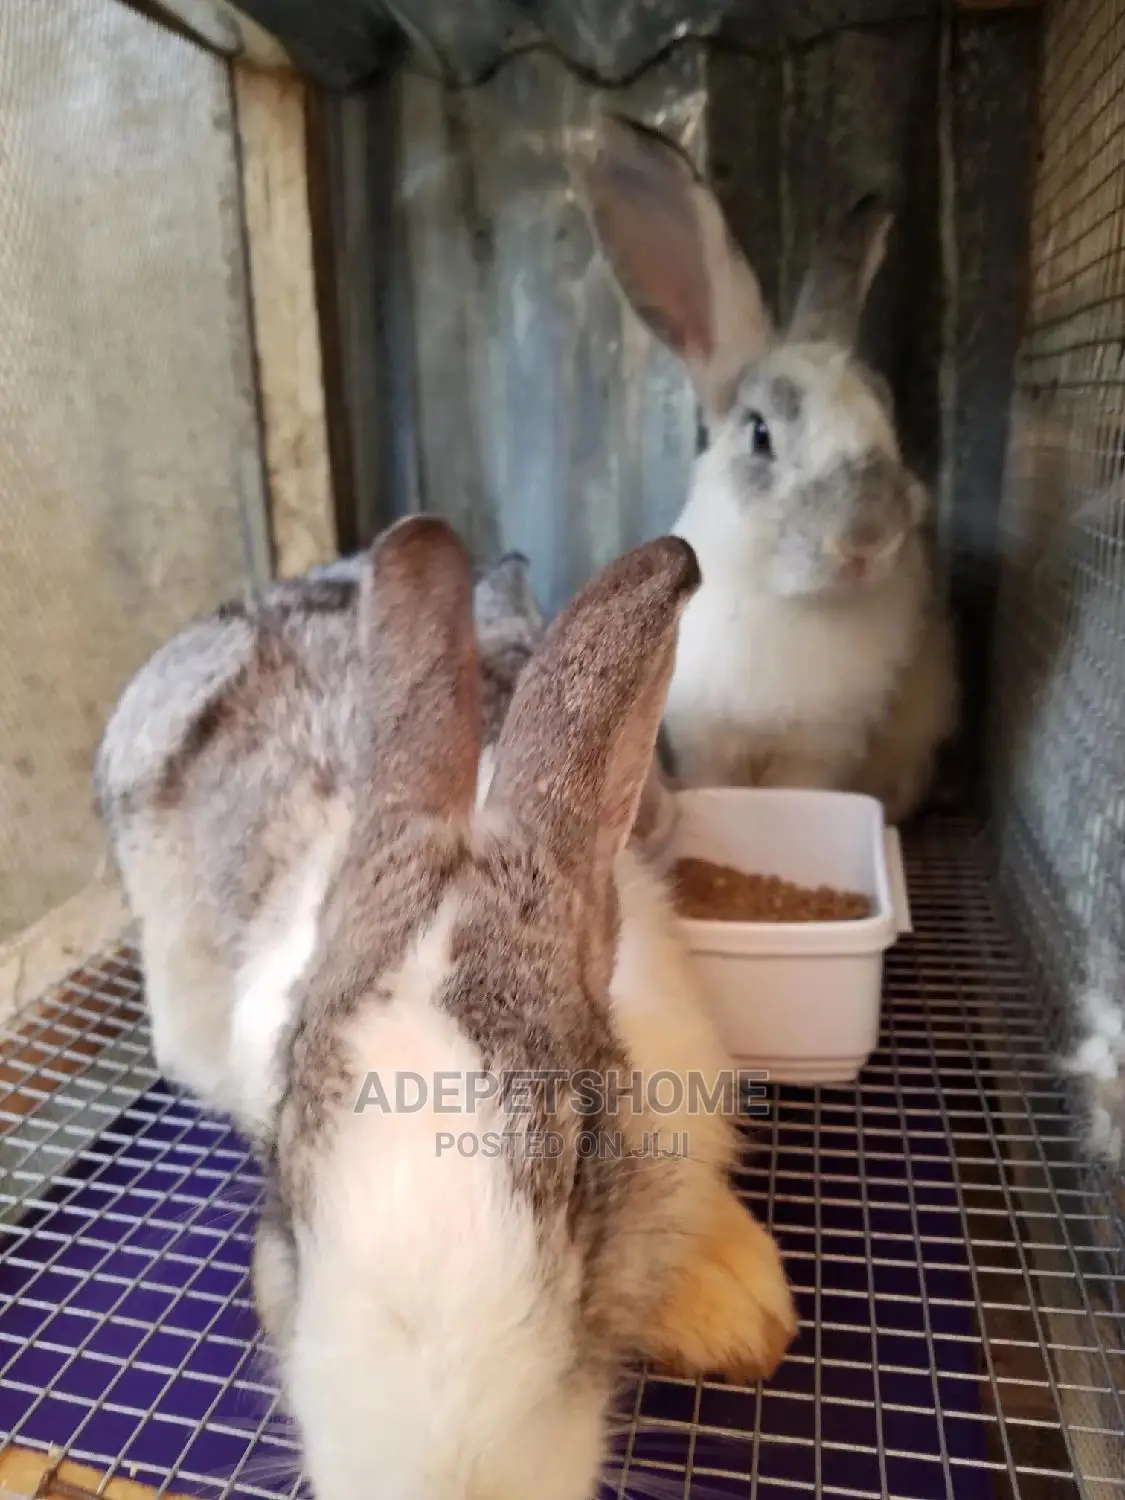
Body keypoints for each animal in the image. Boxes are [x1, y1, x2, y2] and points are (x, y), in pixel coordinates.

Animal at [580, 115, 958, 823]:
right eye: (760, 435)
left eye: (887, 416)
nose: (867, 538)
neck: (791, 603)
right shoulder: (705, 739)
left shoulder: (822, 749)